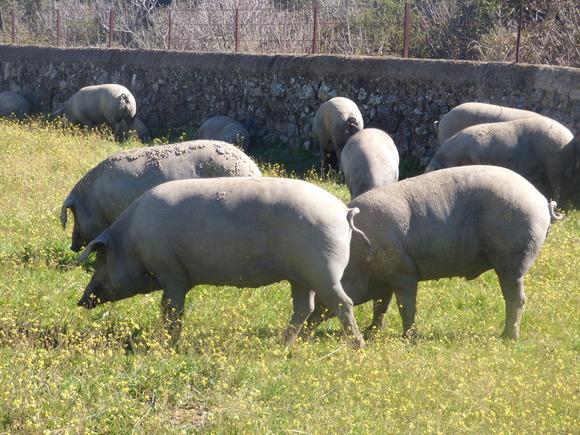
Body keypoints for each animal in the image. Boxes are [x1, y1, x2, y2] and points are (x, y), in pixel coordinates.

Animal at [77, 176, 370, 348]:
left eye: (100, 259)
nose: (81, 301)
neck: (131, 242)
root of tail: (344, 212)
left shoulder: (171, 272)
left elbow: (171, 310)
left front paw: (167, 344)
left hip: (322, 269)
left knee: (342, 303)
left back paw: (358, 346)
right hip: (301, 275)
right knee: (304, 308)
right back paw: (281, 346)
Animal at [306, 166, 560, 340]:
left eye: (319, 296)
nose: (306, 329)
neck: (360, 260)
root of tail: (541, 201)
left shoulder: (403, 273)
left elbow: (405, 306)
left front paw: (409, 338)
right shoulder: (385, 277)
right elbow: (381, 306)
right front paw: (373, 332)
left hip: (512, 259)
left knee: (516, 298)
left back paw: (507, 337)